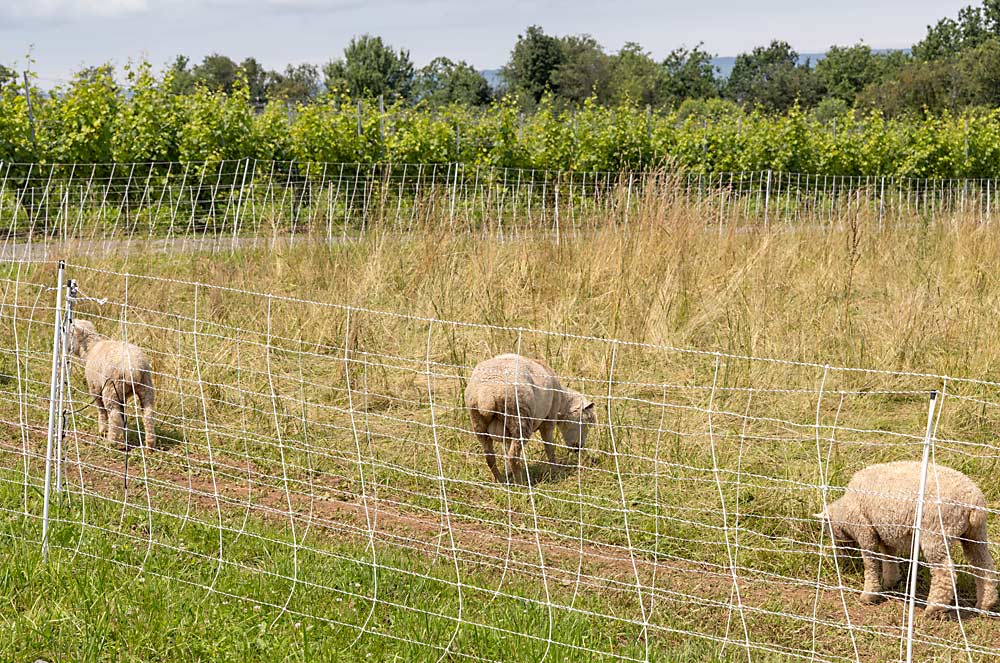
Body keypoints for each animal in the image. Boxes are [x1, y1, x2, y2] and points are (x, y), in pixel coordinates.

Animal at [69, 318, 156, 452]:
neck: (90, 349)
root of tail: (134, 369)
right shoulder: (122, 395)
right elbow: (122, 413)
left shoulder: (95, 388)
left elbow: (101, 410)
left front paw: (102, 430)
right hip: (145, 386)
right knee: (148, 414)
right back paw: (150, 445)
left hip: (110, 389)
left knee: (114, 417)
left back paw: (110, 442)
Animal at [466, 356, 596, 486]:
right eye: (585, 423)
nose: (578, 447)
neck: (562, 404)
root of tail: (487, 395)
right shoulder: (549, 420)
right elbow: (549, 448)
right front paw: (556, 470)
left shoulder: (507, 434)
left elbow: (506, 450)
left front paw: (508, 474)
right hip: (520, 420)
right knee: (513, 457)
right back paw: (521, 484)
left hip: (479, 423)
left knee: (490, 457)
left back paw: (501, 481)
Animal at [816, 460, 996, 620]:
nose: (840, 556)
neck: (845, 511)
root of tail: (973, 502)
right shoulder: (885, 534)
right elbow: (889, 558)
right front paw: (890, 582)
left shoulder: (866, 531)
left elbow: (871, 563)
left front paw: (869, 595)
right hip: (975, 534)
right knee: (983, 565)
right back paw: (984, 605)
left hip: (937, 532)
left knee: (945, 573)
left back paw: (934, 609)